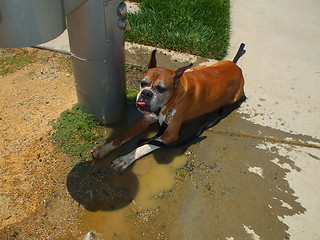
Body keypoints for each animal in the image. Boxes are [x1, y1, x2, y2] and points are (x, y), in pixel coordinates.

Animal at [91, 43, 246, 171]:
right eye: (143, 83)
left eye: (161, 88)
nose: (146, 93)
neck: (168, 103)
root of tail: (236, 67)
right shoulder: (145, 121)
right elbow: (123, 136)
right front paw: (104, 148)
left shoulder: (169, 136)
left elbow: (143, 146)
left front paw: (125, 159)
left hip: (235, 98)